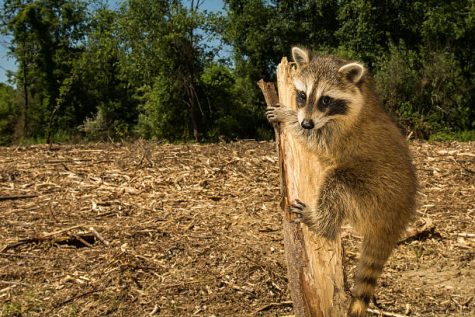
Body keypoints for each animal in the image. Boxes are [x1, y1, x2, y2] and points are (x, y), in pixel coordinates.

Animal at [266, 47, 418, 316]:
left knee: (336, 183)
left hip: (373, 190)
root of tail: (395, 219)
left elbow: (317, 139)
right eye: (303, 95)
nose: (306, 122)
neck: (364, 96)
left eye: (325, 100)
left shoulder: (341, 133)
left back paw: (320, 221)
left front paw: (288, 117)